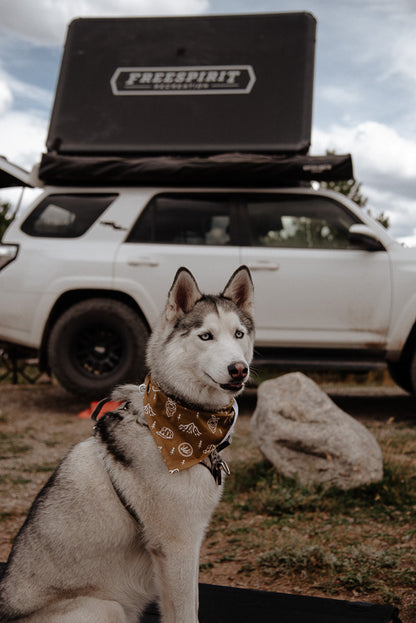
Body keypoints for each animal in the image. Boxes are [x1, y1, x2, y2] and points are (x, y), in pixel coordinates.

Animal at [0, 266, 254, 623]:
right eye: (206, 336)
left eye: (239, 334)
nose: (238, 369)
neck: (180, 430)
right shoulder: (176, 545)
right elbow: (186, 612)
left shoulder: (187, 544)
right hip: (106, 607)